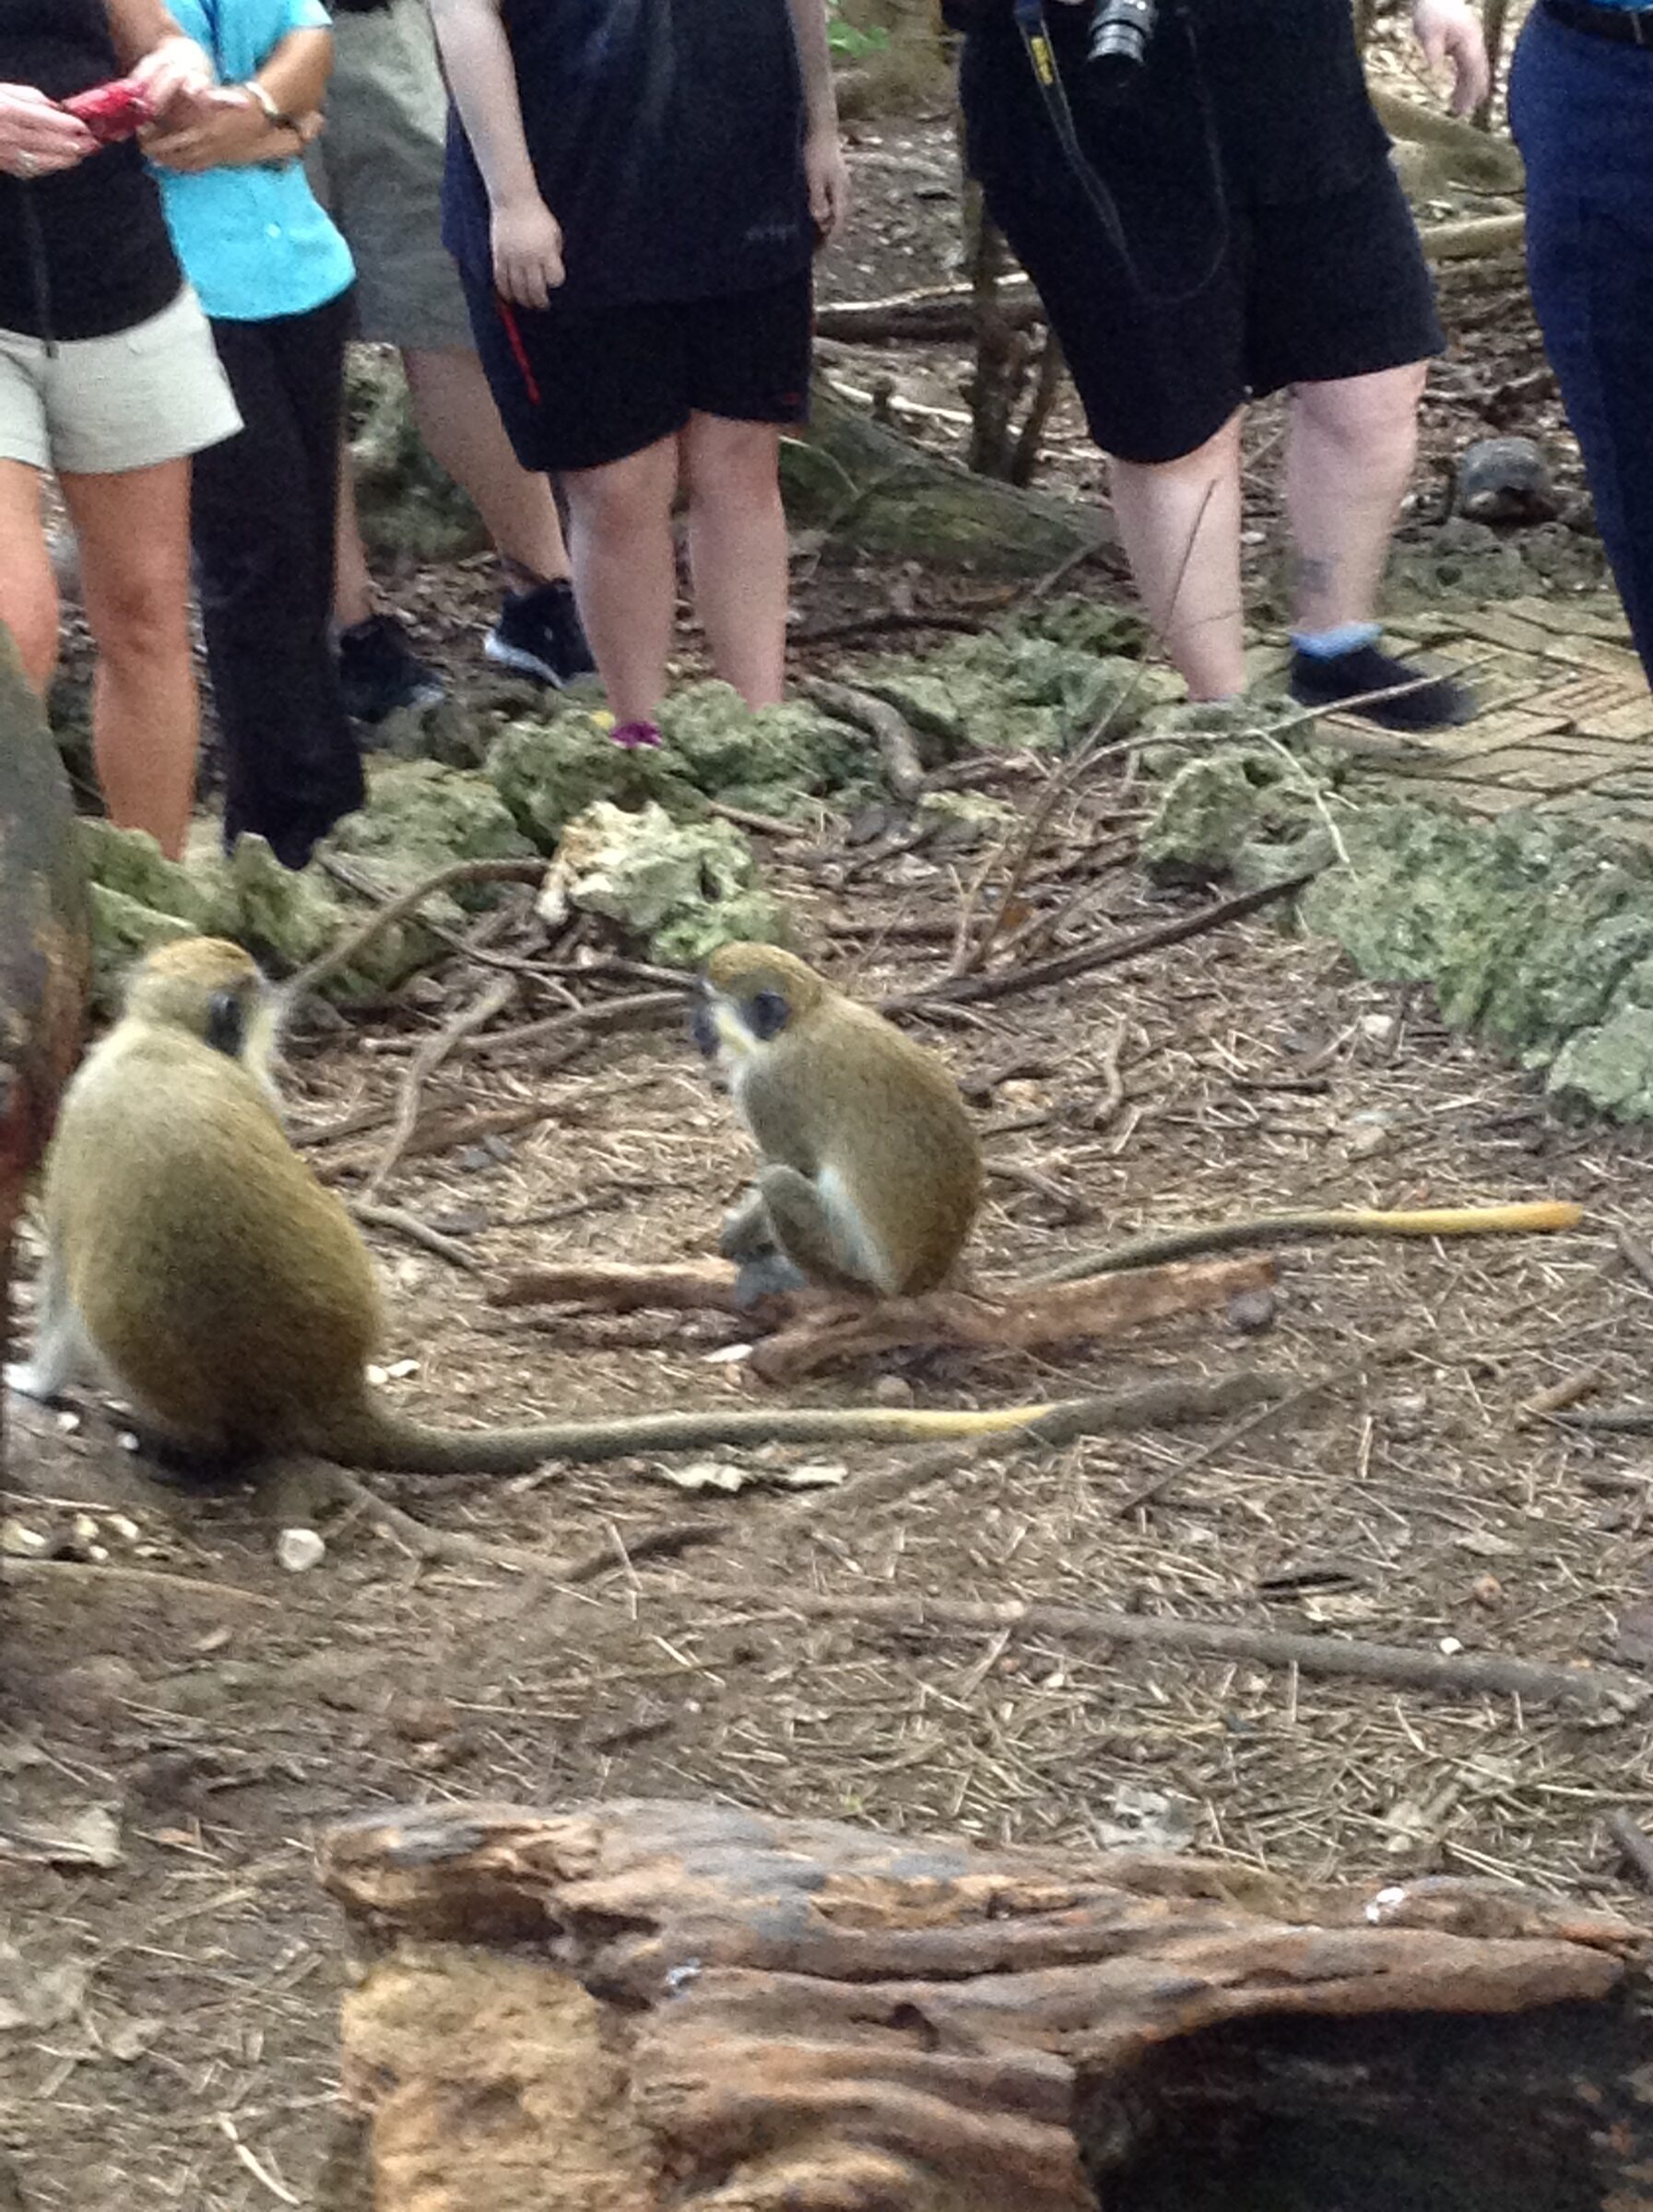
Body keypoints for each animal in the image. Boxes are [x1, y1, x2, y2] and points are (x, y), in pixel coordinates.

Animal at [691, 944, 983, 1310]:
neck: (802, 1018)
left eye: (707, 1003)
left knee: (778, 1182)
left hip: (853, 1262)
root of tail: (918, 1282)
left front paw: (738, 1237)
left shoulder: (763, 1087)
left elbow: (794, 1164)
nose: (694, 1024)